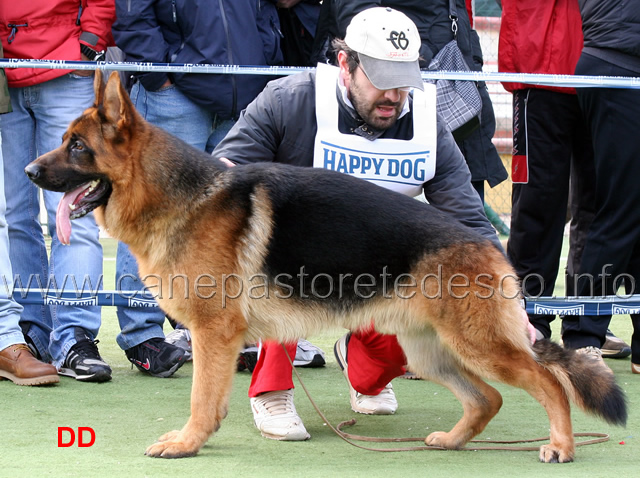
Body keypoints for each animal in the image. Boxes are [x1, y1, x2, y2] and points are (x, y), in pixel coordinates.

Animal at [25, 72, 624, 464]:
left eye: (76, 147)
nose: (29, 170)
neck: (178, 196)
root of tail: (488, 244)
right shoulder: (218, 338)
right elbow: (211, 399)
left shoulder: (215, 334)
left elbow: (201, 399)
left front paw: (187, 443)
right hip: (431, 352)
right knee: (489, 398)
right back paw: (453, 441)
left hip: (478, 345)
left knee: (548, 382)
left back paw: (562, 446)